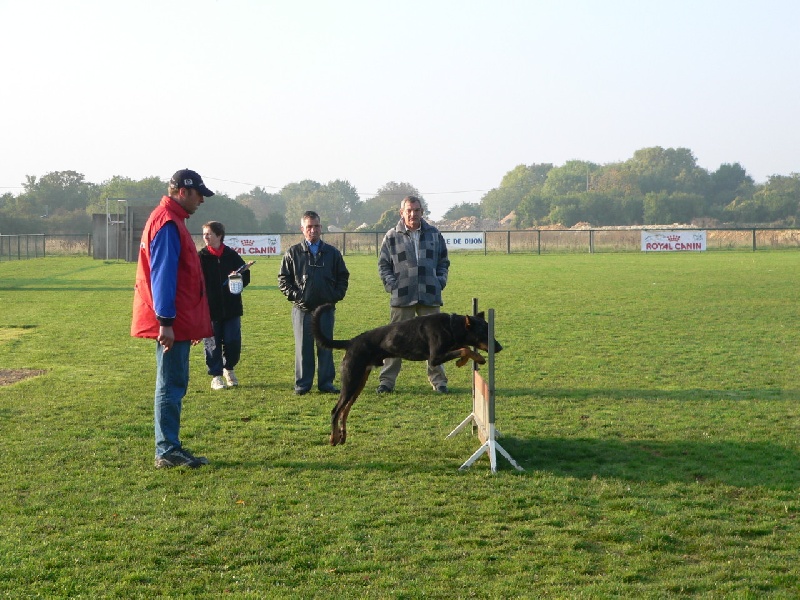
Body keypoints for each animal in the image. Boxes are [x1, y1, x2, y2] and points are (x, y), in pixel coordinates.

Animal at [310, 304, 504, 446]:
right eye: (484, 333)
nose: (500, 347)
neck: (450, 326)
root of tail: (350, 342)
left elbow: (464, 348)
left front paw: (463, 361)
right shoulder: (434, 358)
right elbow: (465, 348)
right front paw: (478, 357)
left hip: (358, 384)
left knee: (345, 411)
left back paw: (343, 436)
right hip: (351, 380)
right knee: (336, 410)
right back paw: (333, 438)